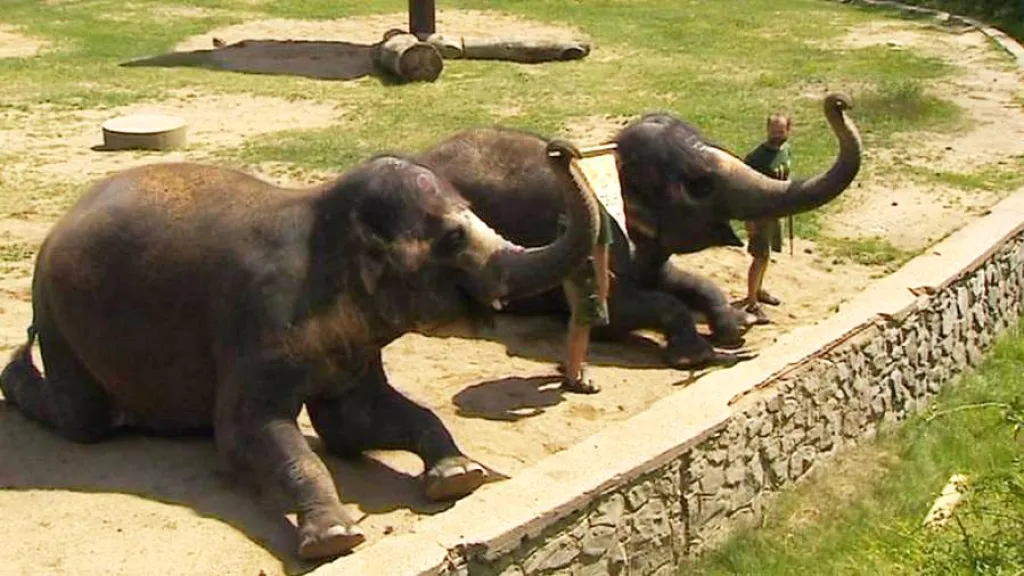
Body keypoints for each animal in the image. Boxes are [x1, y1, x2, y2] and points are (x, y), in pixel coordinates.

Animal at [0, 138, 602, 557]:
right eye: (453, 239)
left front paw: (459, 477)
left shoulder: (351, 347)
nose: (561, 149)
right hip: (56, 312)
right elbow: (244, 434)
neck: (323, 215)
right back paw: (20, 373)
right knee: (84, 421)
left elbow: (353, 424)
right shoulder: (256, 320)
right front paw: (335, 538)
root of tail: (63, 218)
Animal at [411, 90, 860, 366]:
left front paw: (736, 328)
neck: (607, 159)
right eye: (700, 185)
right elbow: (623, 307)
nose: (840, 102)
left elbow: (684, 280)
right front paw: (696, 356)